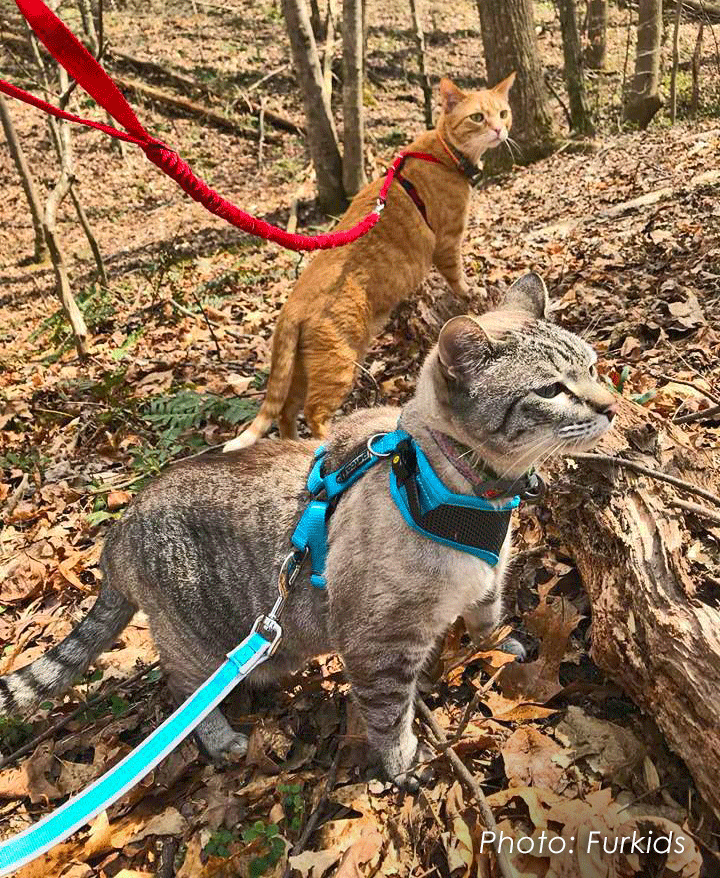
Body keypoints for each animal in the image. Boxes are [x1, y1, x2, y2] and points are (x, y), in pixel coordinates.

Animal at [1, 272, 620, 788]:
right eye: (552, 390)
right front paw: (404, 765)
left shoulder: (490, 579)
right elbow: (389, 717)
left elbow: (488, 620)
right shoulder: (381, 647)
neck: (477, 499)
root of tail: (120, 529)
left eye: (592, 366)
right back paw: (222, 737)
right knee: (183, 695)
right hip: (198, 646)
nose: (612, 404)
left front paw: (501, 646)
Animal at [225, 74, 512, 454]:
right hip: (339, 364)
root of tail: (290, 308)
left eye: (503, 112)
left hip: (302, 369)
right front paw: (469, 291)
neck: (443, 154)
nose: (498, 129)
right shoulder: (448, 242)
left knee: (287, 412)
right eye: (478, 117)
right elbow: (457, 276)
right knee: (314, 412)